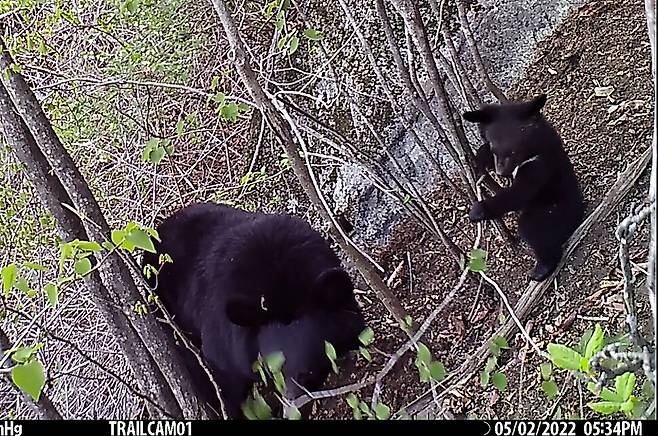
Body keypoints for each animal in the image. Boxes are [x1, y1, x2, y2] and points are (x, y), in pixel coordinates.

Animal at [141, 203, 364, 418]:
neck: (282, 290)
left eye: (307, 374)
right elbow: (223, 380)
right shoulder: (226, 341)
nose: (291, 410)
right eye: (275, 373)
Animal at [462, 93, 584, 282]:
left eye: (513, 152)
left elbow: (519, 193)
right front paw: (480, 162)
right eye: (495, 150)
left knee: (533, 230)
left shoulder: (541, 164)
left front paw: (477, 211)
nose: (501, 172)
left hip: (553, 210)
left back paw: (541, 269)